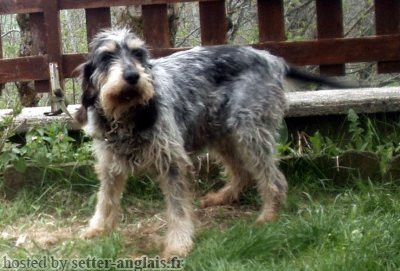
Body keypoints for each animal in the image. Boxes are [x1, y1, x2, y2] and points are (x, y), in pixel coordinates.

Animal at [76, 28, 346, 260]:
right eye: (107, 56)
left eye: (138, 54)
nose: (133, 76)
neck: (127, 115)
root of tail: (271, 59)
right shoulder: (109, 164)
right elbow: (106, 198)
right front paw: (99, 228)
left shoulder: (173, 163)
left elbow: (178, 210)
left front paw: (178, 244)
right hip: (221, 133)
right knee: (241, 172)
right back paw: (223, 197)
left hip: (249, 132)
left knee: (273, 179)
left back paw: (269, 215)